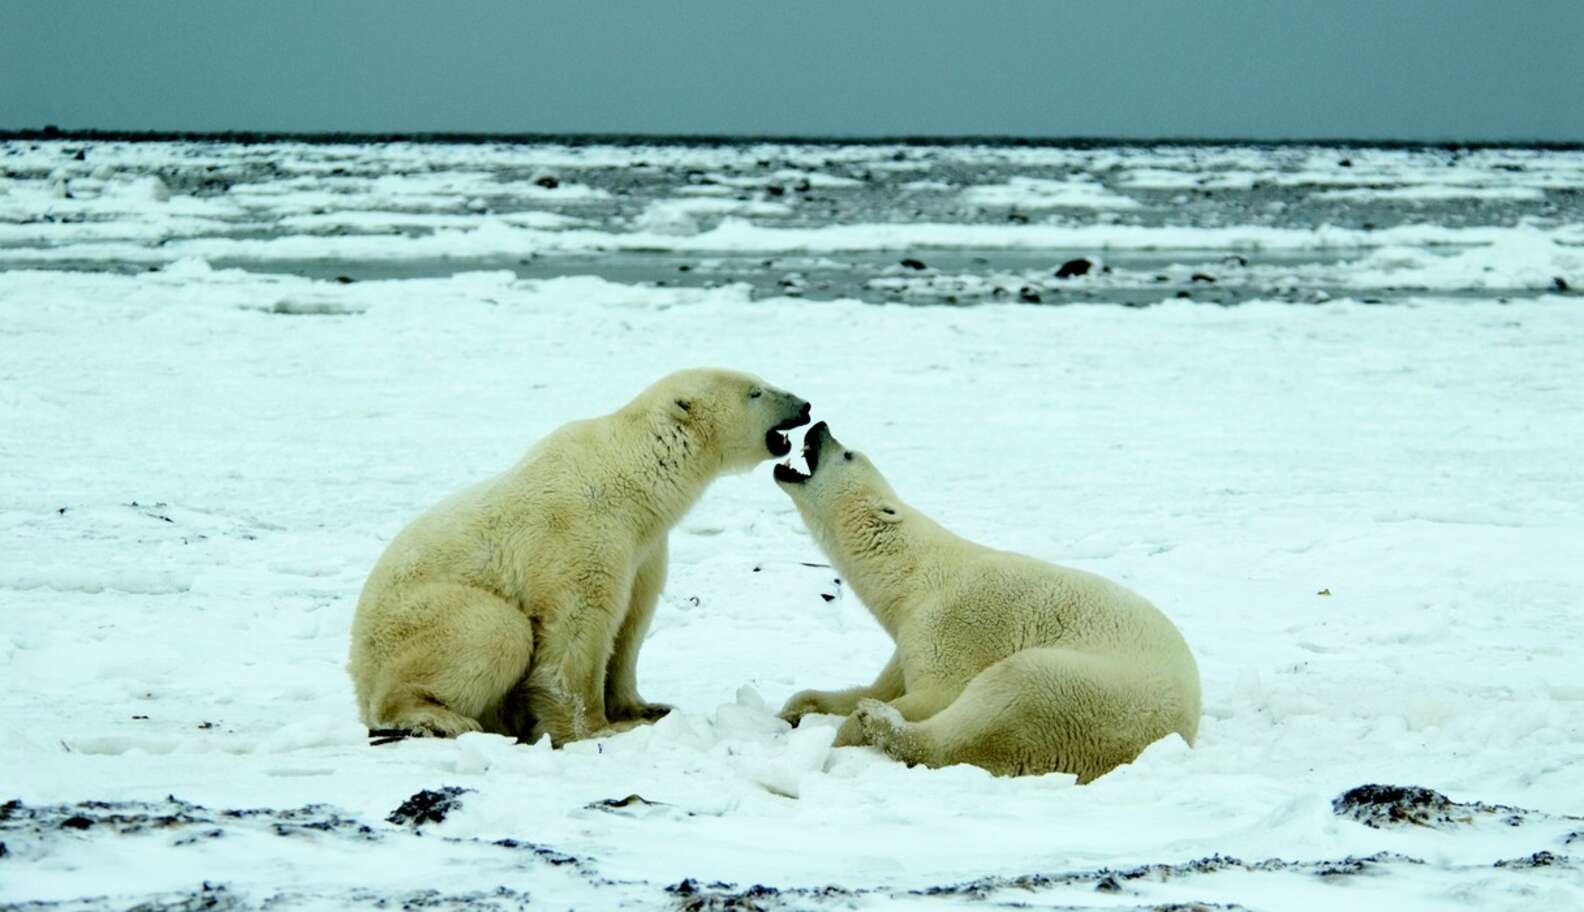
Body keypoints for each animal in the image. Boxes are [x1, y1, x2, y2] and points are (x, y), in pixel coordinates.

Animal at [351, 367, 811, 744]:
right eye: (756, 392)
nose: (804, 405)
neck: (632, 475)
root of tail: (357, 672)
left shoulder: (644, 548)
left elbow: (633, 621)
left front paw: (645, 708)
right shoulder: (578, 529)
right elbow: (577, 626)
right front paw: (594, 728)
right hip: (412, 621)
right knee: (494, 629)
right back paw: (440, 717)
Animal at [772, 424, 1191, 779]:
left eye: (848, 454)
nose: (819, 426)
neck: (915, 573)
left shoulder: (952, 623)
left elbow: (938, 692)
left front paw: (844, 732)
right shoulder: (907, 635)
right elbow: (881, 686)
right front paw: (796, 708)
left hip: (1088, 692)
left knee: (1001, 700)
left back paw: (877, 722)